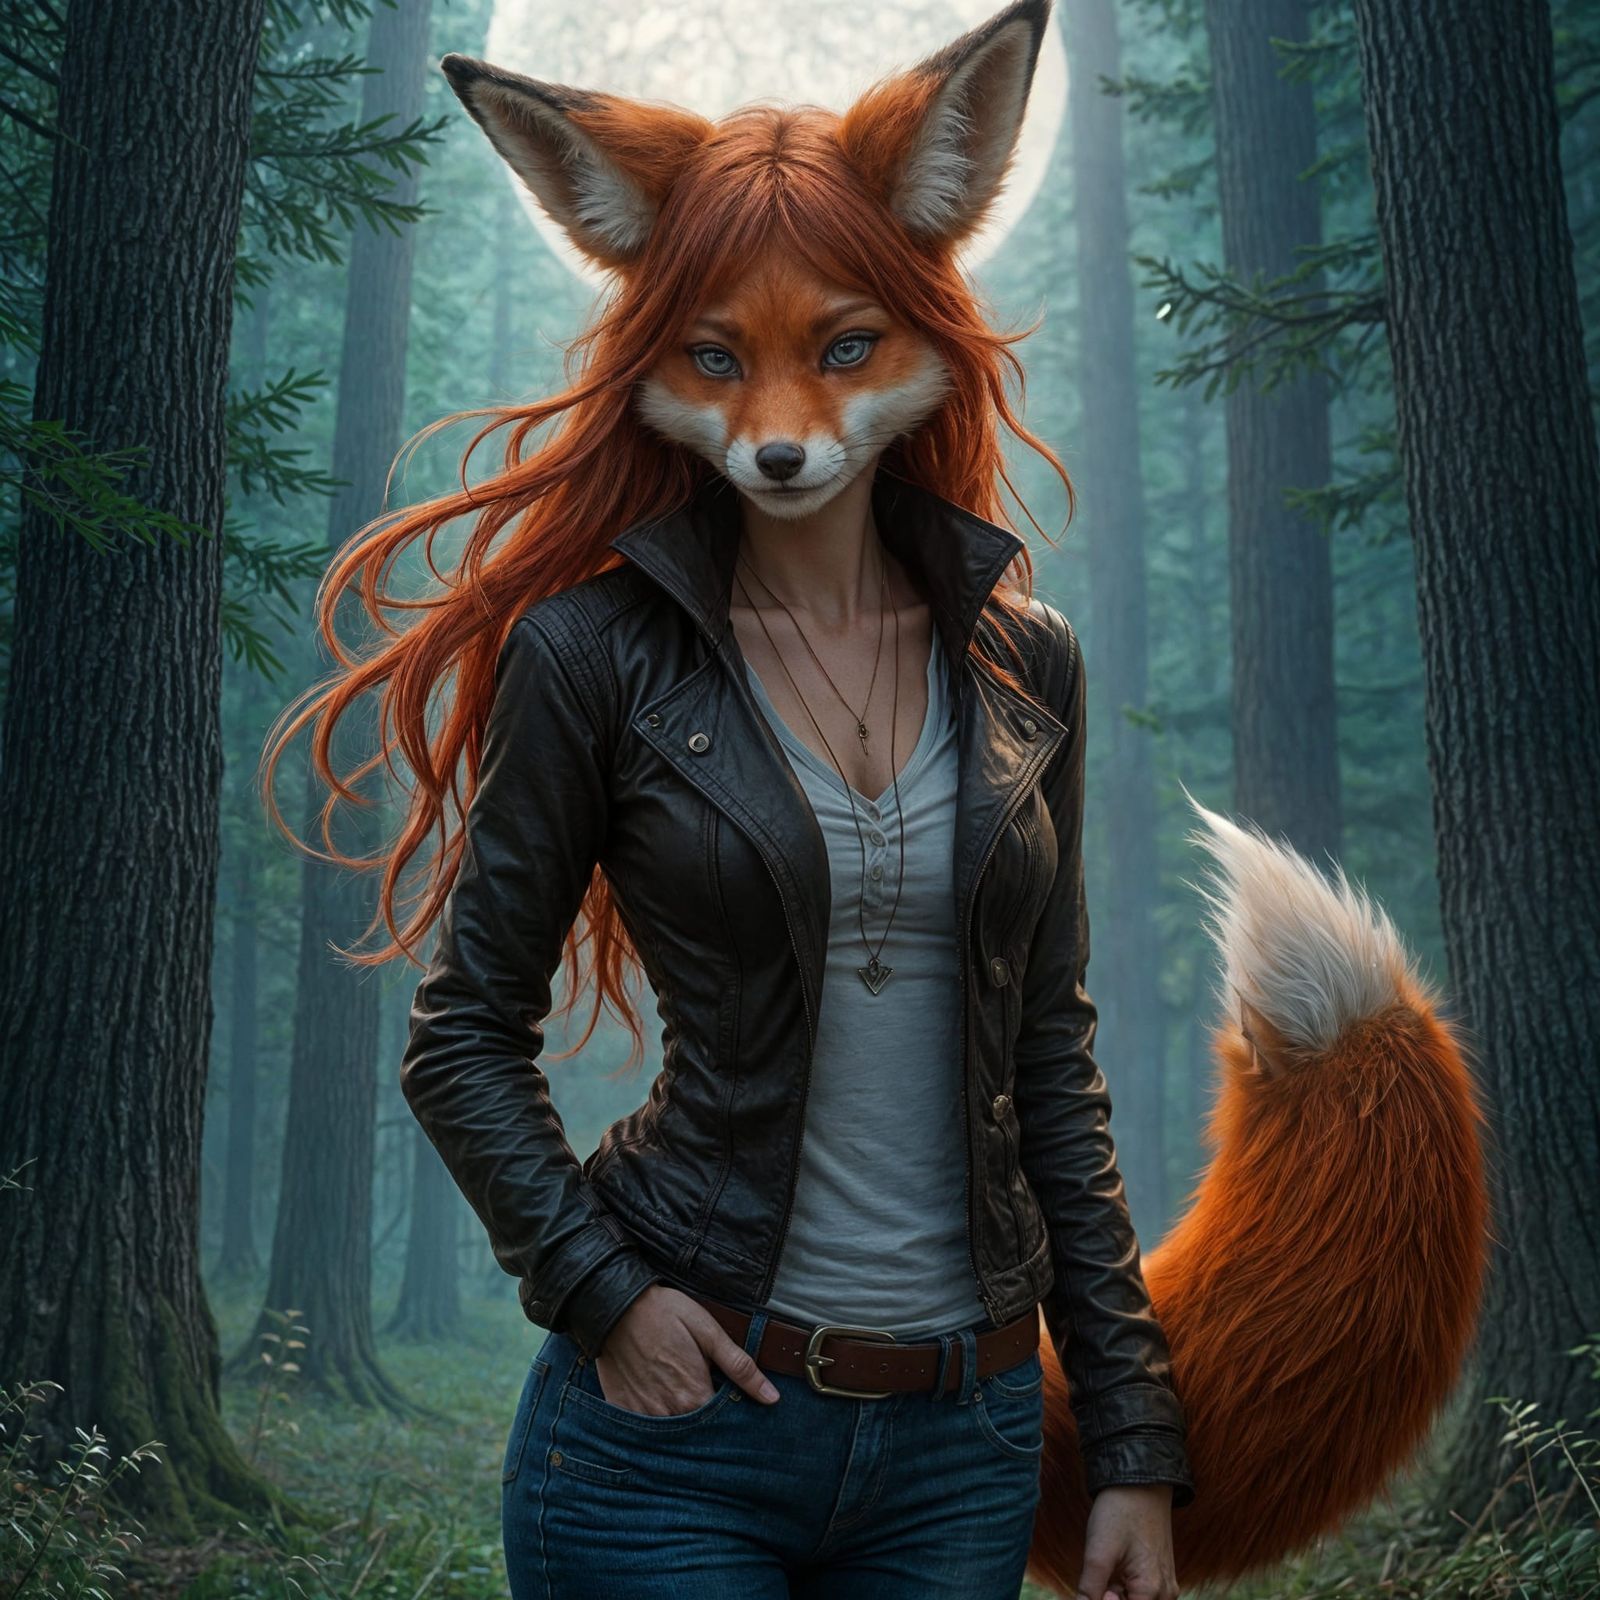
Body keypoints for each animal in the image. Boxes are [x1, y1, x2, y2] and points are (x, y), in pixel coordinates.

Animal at [302, 0, 1493, 1591]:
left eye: (847, 343)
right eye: (712, 353)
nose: (779, 459)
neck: (815, 600)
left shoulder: (1049, 815)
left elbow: (1068, 1104)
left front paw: (1136, 1492)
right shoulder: (551, 679)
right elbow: (469, 1012)